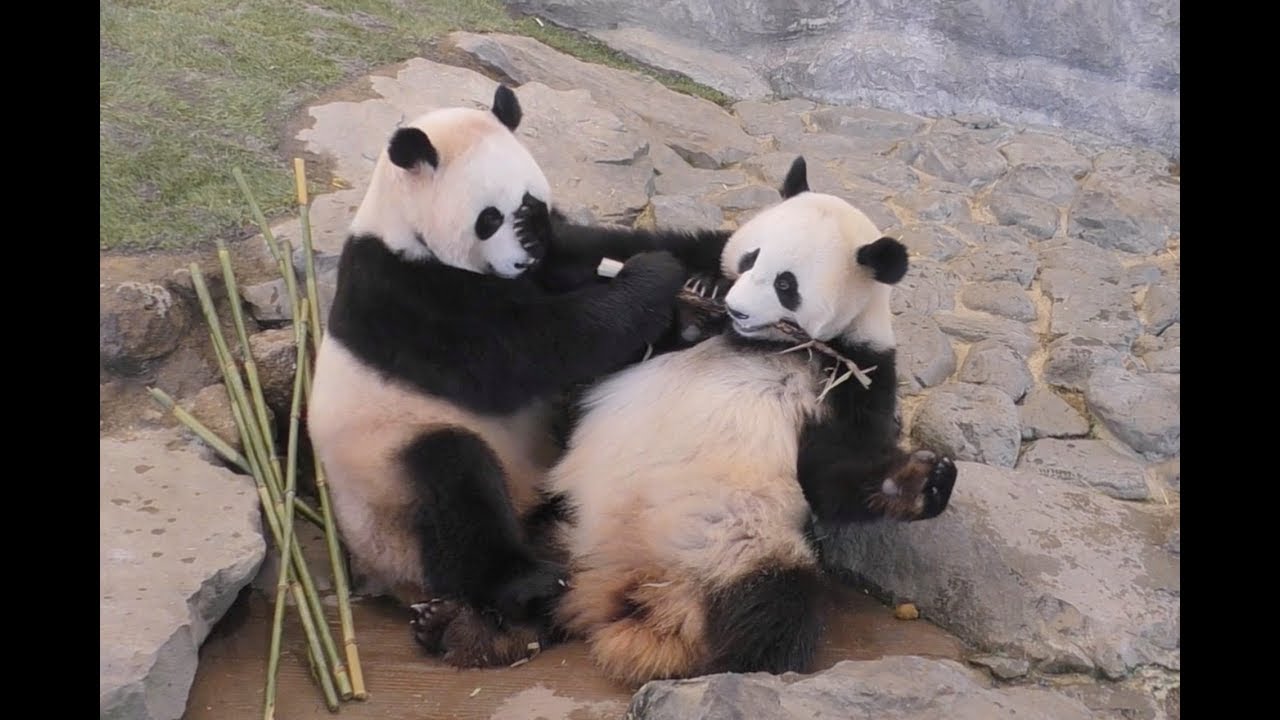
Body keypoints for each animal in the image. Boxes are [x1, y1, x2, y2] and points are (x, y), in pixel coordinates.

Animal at [306, 83, 706, 669]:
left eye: (530, 203)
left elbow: (574, 259)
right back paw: (523, 587)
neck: (402, 226)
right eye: (489, 218)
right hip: (388, 488)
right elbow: (527, 349)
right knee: (453, 482)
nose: (523, 260)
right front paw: (654, 279)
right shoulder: (404, 296)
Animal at [535, 156, 960, 686]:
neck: (769, 342)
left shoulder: (858, 374)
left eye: (786, 285)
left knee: (775, 611)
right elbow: (604, 278)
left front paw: (919, 483)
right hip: (568, 509)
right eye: (750, 258)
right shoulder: (697, 252)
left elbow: (833, 474)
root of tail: (635, 586)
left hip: (747, 547)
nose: (735, 308)